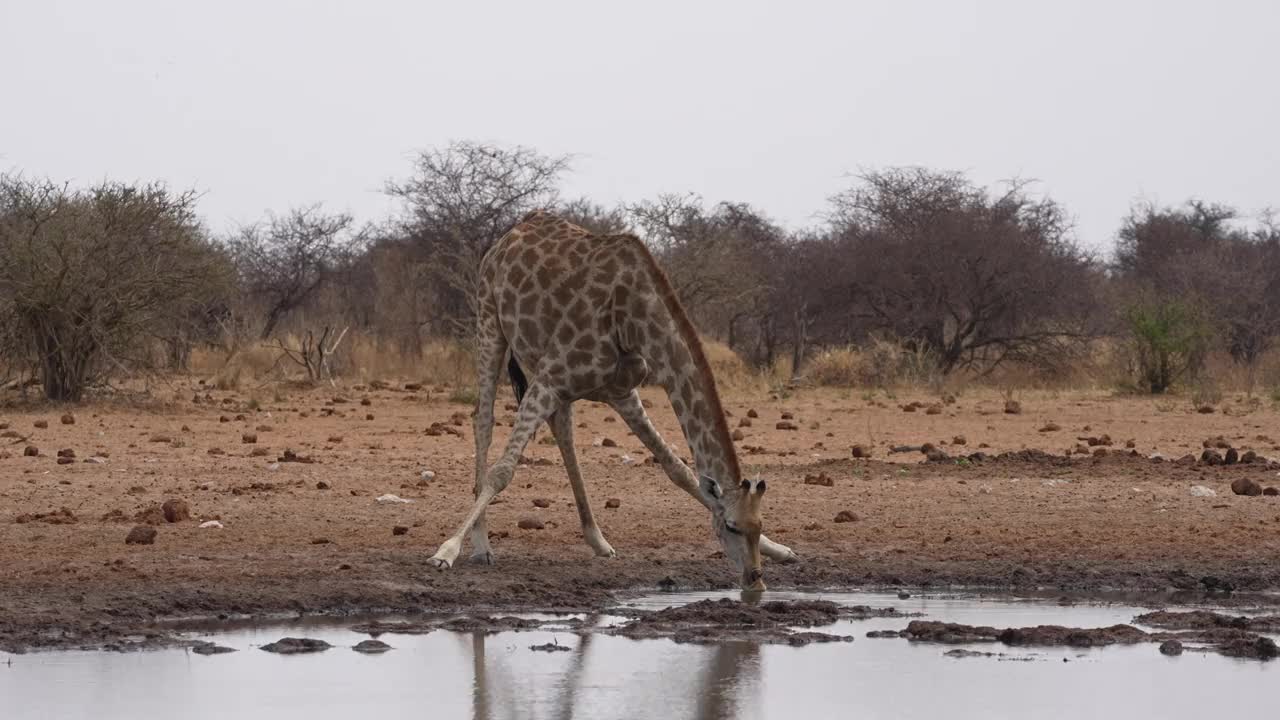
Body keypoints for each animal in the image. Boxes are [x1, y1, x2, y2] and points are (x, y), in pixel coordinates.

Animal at [430, 208, 798, 589]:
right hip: (489, 322)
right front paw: (446, 550)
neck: (635, 319)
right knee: (484, 419)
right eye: (731, 526)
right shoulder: (549, 379)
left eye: (759, 525)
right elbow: (502, 472)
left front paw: (780, 549)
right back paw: (482, 545)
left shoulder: (619, 391)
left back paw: (598, 539)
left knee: (562, 429)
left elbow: (678, 468)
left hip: (553, 376)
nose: (755, 580)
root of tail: (512, 233)